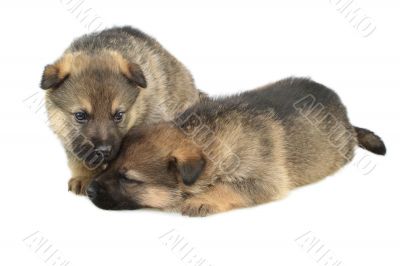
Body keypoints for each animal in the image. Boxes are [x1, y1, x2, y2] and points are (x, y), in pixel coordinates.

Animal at [86, 77, 386, 216]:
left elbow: (227, 186)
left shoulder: (265, 180)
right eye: (109, 165)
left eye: (128, 179)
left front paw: (203, 199)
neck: (205, 136)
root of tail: (347, 119)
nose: (88, 191)